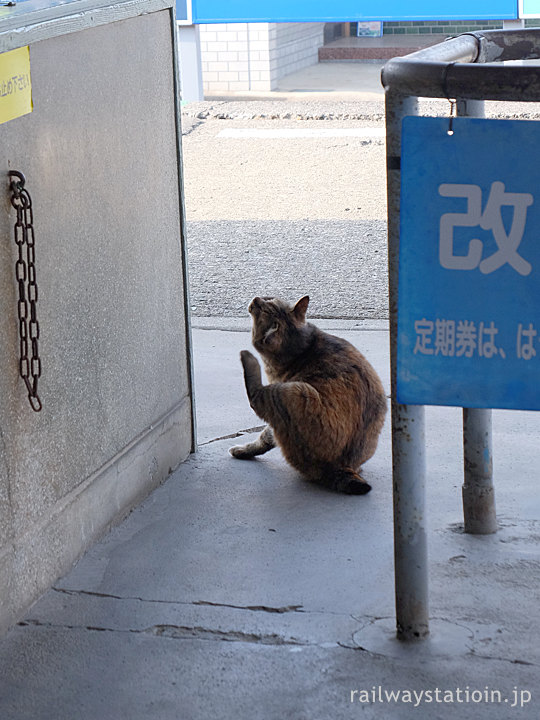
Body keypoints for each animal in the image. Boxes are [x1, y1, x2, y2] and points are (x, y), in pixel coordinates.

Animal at [230, 296, 386, 496]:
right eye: (269, 299)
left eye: (264, 308)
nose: (257, 299)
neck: (301, 348)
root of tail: (340, 468)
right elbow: (266, 437)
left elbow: (265, 433)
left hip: (294, 391)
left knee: (256, 396)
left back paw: (248, 359)